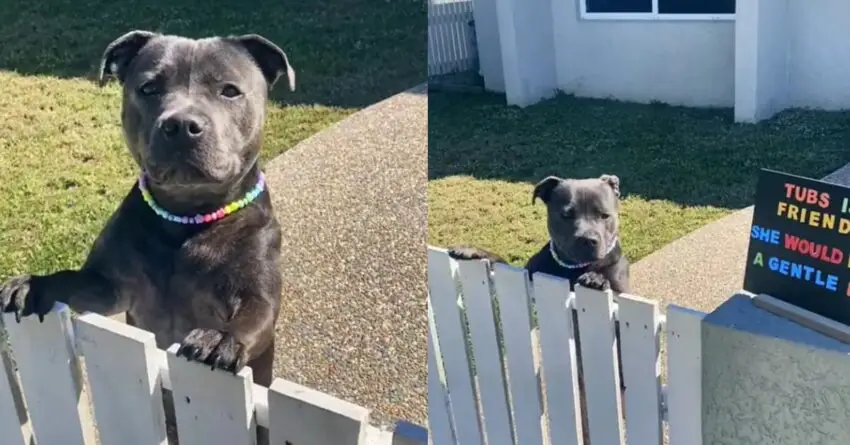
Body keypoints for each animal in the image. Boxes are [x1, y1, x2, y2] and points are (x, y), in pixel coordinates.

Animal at [0, 30, 294, 388]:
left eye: (229, 90)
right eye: (149, 88)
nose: (181, 124)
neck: (185, 219)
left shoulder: (257, 293)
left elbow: (254, 316)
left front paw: (222, 338)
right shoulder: (109, 286)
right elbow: (71, 279)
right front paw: (34, 285)